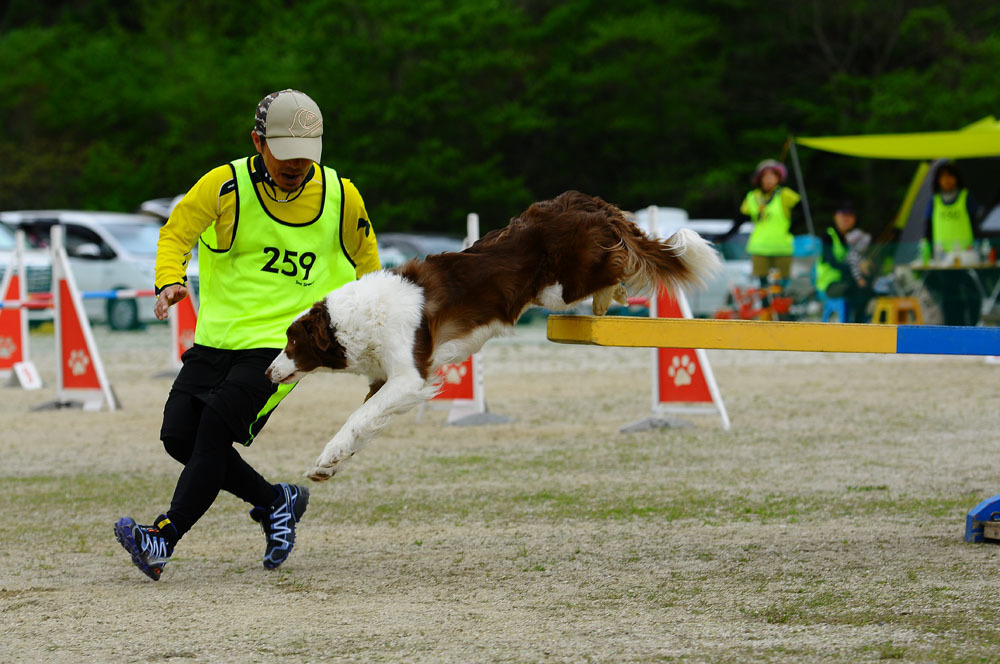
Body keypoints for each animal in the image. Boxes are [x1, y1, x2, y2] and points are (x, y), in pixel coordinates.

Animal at [266, 189, 720, 480]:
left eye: (291, 343)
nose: (269, 373)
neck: (356, 318)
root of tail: (585, 201)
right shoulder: (385, 379)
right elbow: (363, 421)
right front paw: (330, 462)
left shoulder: (410, 376)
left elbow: (359, 416)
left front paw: (331, 458)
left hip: (560, 286)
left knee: (618, 263)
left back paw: (614, 293)